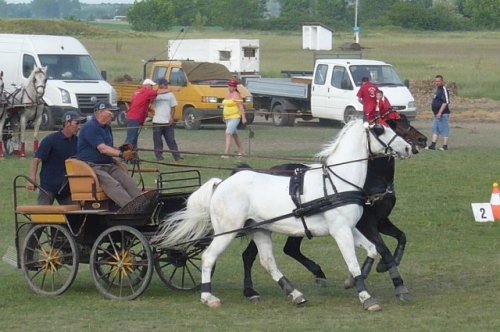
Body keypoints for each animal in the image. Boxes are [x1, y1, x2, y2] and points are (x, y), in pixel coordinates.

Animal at [154, 119, 412, 312]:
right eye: (380, 130)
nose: (409, 148)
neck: (338, 182)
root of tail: (221, 183)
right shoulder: (340, 231)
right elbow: (354, 262)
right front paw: (367, 297)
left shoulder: (351, 228)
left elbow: (371, 250)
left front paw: (352, 281)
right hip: (227, 231)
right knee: (209, 257)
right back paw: (208, 297)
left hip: (259, 229)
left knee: (267, 261)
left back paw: (294, 293)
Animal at [238, 113, 426, 304]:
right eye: (387, 126)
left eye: (406, 119)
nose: (420, 141)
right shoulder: (366, 223)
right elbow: (383, 249)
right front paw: (396, 284)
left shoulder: (381, 221)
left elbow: (401, 237)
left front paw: (378, 269)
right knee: (251, 255)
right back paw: (250, 291)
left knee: (288, 249)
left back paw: (316, 275)